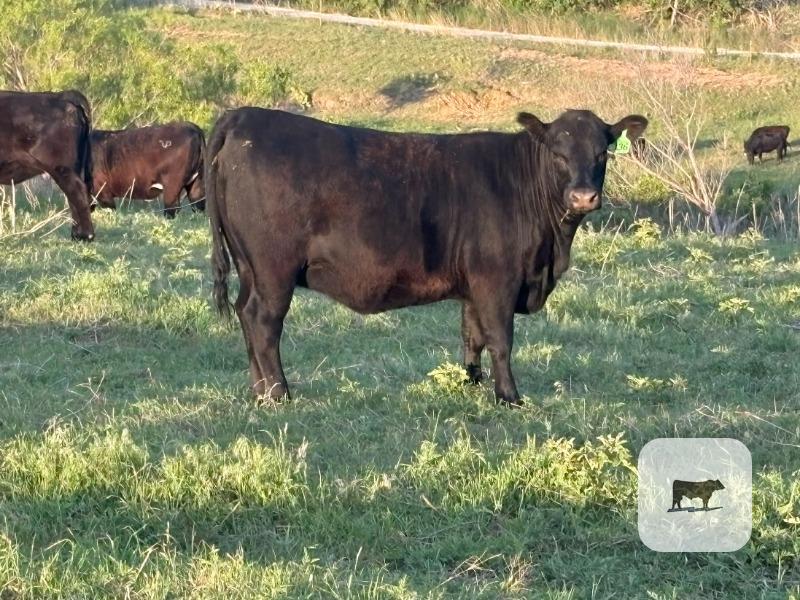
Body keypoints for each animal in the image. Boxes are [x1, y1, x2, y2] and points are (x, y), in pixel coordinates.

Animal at [206, 108, 647, 405]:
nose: (583, 197)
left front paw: (471, 381)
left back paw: (258, 389)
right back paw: (279, 393)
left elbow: (472, 336)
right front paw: (508, 396)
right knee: (263, 321)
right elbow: (501, 339)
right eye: (558, 153)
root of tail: (243, 116)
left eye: (603, 153)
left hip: (249, 266)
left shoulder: (474, 285)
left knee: (245, 314)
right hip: (273, 270)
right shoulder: (496, 279)